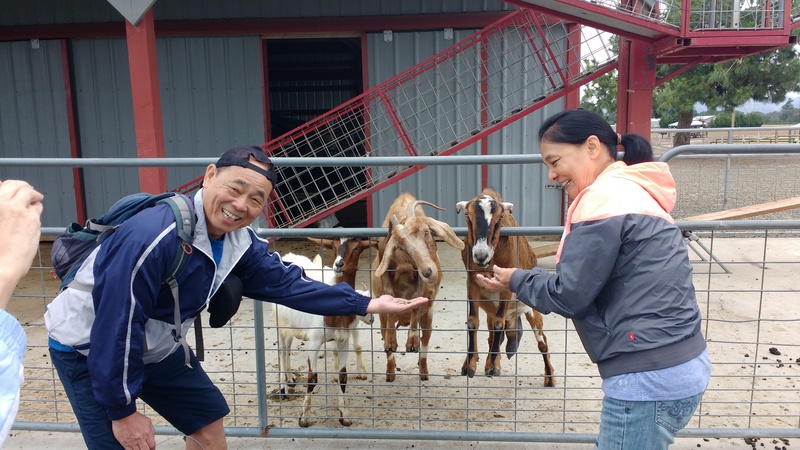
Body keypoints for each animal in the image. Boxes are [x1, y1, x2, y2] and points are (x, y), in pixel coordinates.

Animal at [270, 251, 374, 428]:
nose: (372, 320)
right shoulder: (314, 341)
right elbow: (312, 378)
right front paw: (304, 418)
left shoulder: (343, 338)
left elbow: (343, 374)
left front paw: (344, 415)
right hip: (281, 324)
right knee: (282, 350)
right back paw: (284, 388)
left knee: (288, 348)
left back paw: (290, 378)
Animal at [374, 192, 466, 382]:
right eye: (402, 246)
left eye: (427, 232)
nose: (428, 271)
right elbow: (388, 293)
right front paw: (391, 342)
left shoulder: (423, 286)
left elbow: (417, 299)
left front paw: (412, 341)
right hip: (381, 319)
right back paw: (390, 373)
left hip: (428, 317)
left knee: (426, 342)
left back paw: (423, 371)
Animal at [456, 187, 556, 386]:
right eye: (467, 215)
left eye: (500, 217)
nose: (481, 255)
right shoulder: (472, 282)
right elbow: (472, 322)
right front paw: (470, 365)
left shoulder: (506, 287)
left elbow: (498, 323)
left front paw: (492, 365)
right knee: (493, 336)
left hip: (532, 312)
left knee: (542, 342)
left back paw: (549, 378)